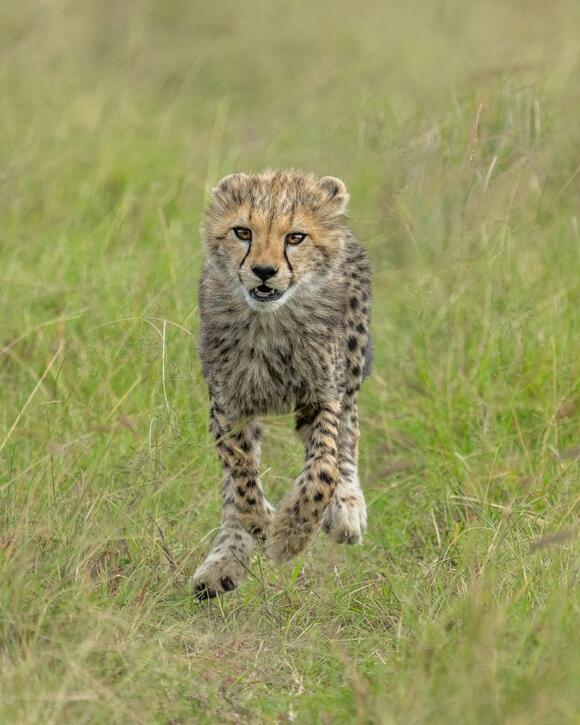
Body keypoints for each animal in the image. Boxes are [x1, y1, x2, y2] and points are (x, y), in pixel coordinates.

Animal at [192, 169, 372, 600]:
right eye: (243, 232)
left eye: (296, 237)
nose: (263, 271)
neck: (269, 321)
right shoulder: (228, 405)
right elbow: (240, 475)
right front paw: (260, 523)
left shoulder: (322, 396)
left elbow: (323, 468)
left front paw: (292, 533)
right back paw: (223, 563)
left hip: (352, 366)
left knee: (349, 435)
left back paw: (347, 508)